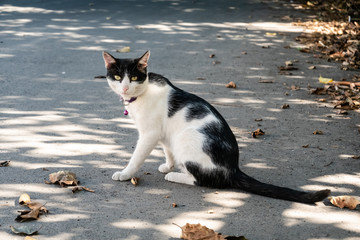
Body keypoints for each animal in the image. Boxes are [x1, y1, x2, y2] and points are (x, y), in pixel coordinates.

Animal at [100, 50, 330, 202]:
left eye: (134, 77)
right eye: (118, 77)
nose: (125, 88)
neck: (144, 92)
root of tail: (233, 168)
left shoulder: (149, 133)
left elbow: (137, 157)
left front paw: (125, 173)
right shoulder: (163, 132)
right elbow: (167, 149)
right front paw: (168, 164)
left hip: (187, 138)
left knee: (204, 180)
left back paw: (175, 176)